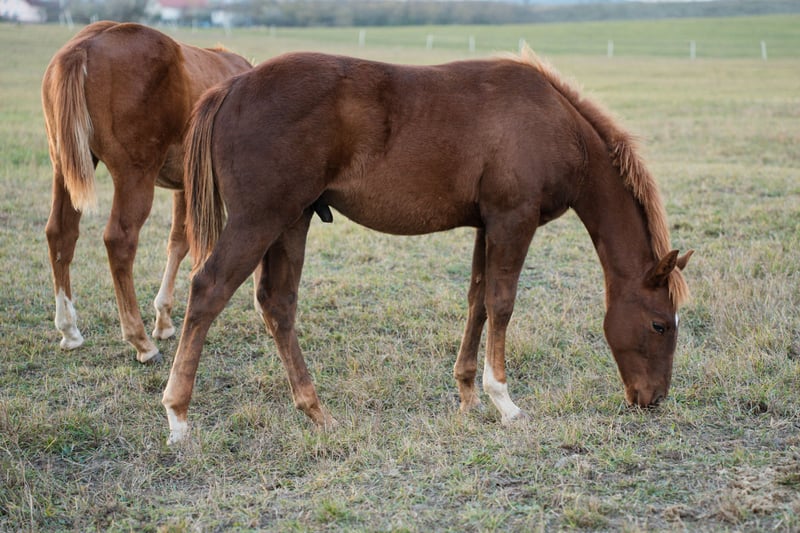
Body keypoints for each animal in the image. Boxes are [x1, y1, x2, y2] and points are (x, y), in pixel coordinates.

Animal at [42, 21, 252, 363]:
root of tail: (84, 45)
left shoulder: (187, 186)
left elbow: (178, 243)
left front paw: (164, 317)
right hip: (134, 176)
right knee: (119, 240)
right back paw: (139, 339)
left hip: (64, 169)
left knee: (60, 234)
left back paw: (69, 330)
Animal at [163, 48, 692, 444]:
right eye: (660, 325)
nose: (652, 400)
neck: (554, 121)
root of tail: (232, 87)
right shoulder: (513, 220)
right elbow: (502, 304)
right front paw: (504, 401)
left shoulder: (487, 224)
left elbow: (478, 301)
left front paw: (468, 395)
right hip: (260, 220)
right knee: (208, 291)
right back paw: (178, 415)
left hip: (291, 221)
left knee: (277, 305)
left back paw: (316, 411)